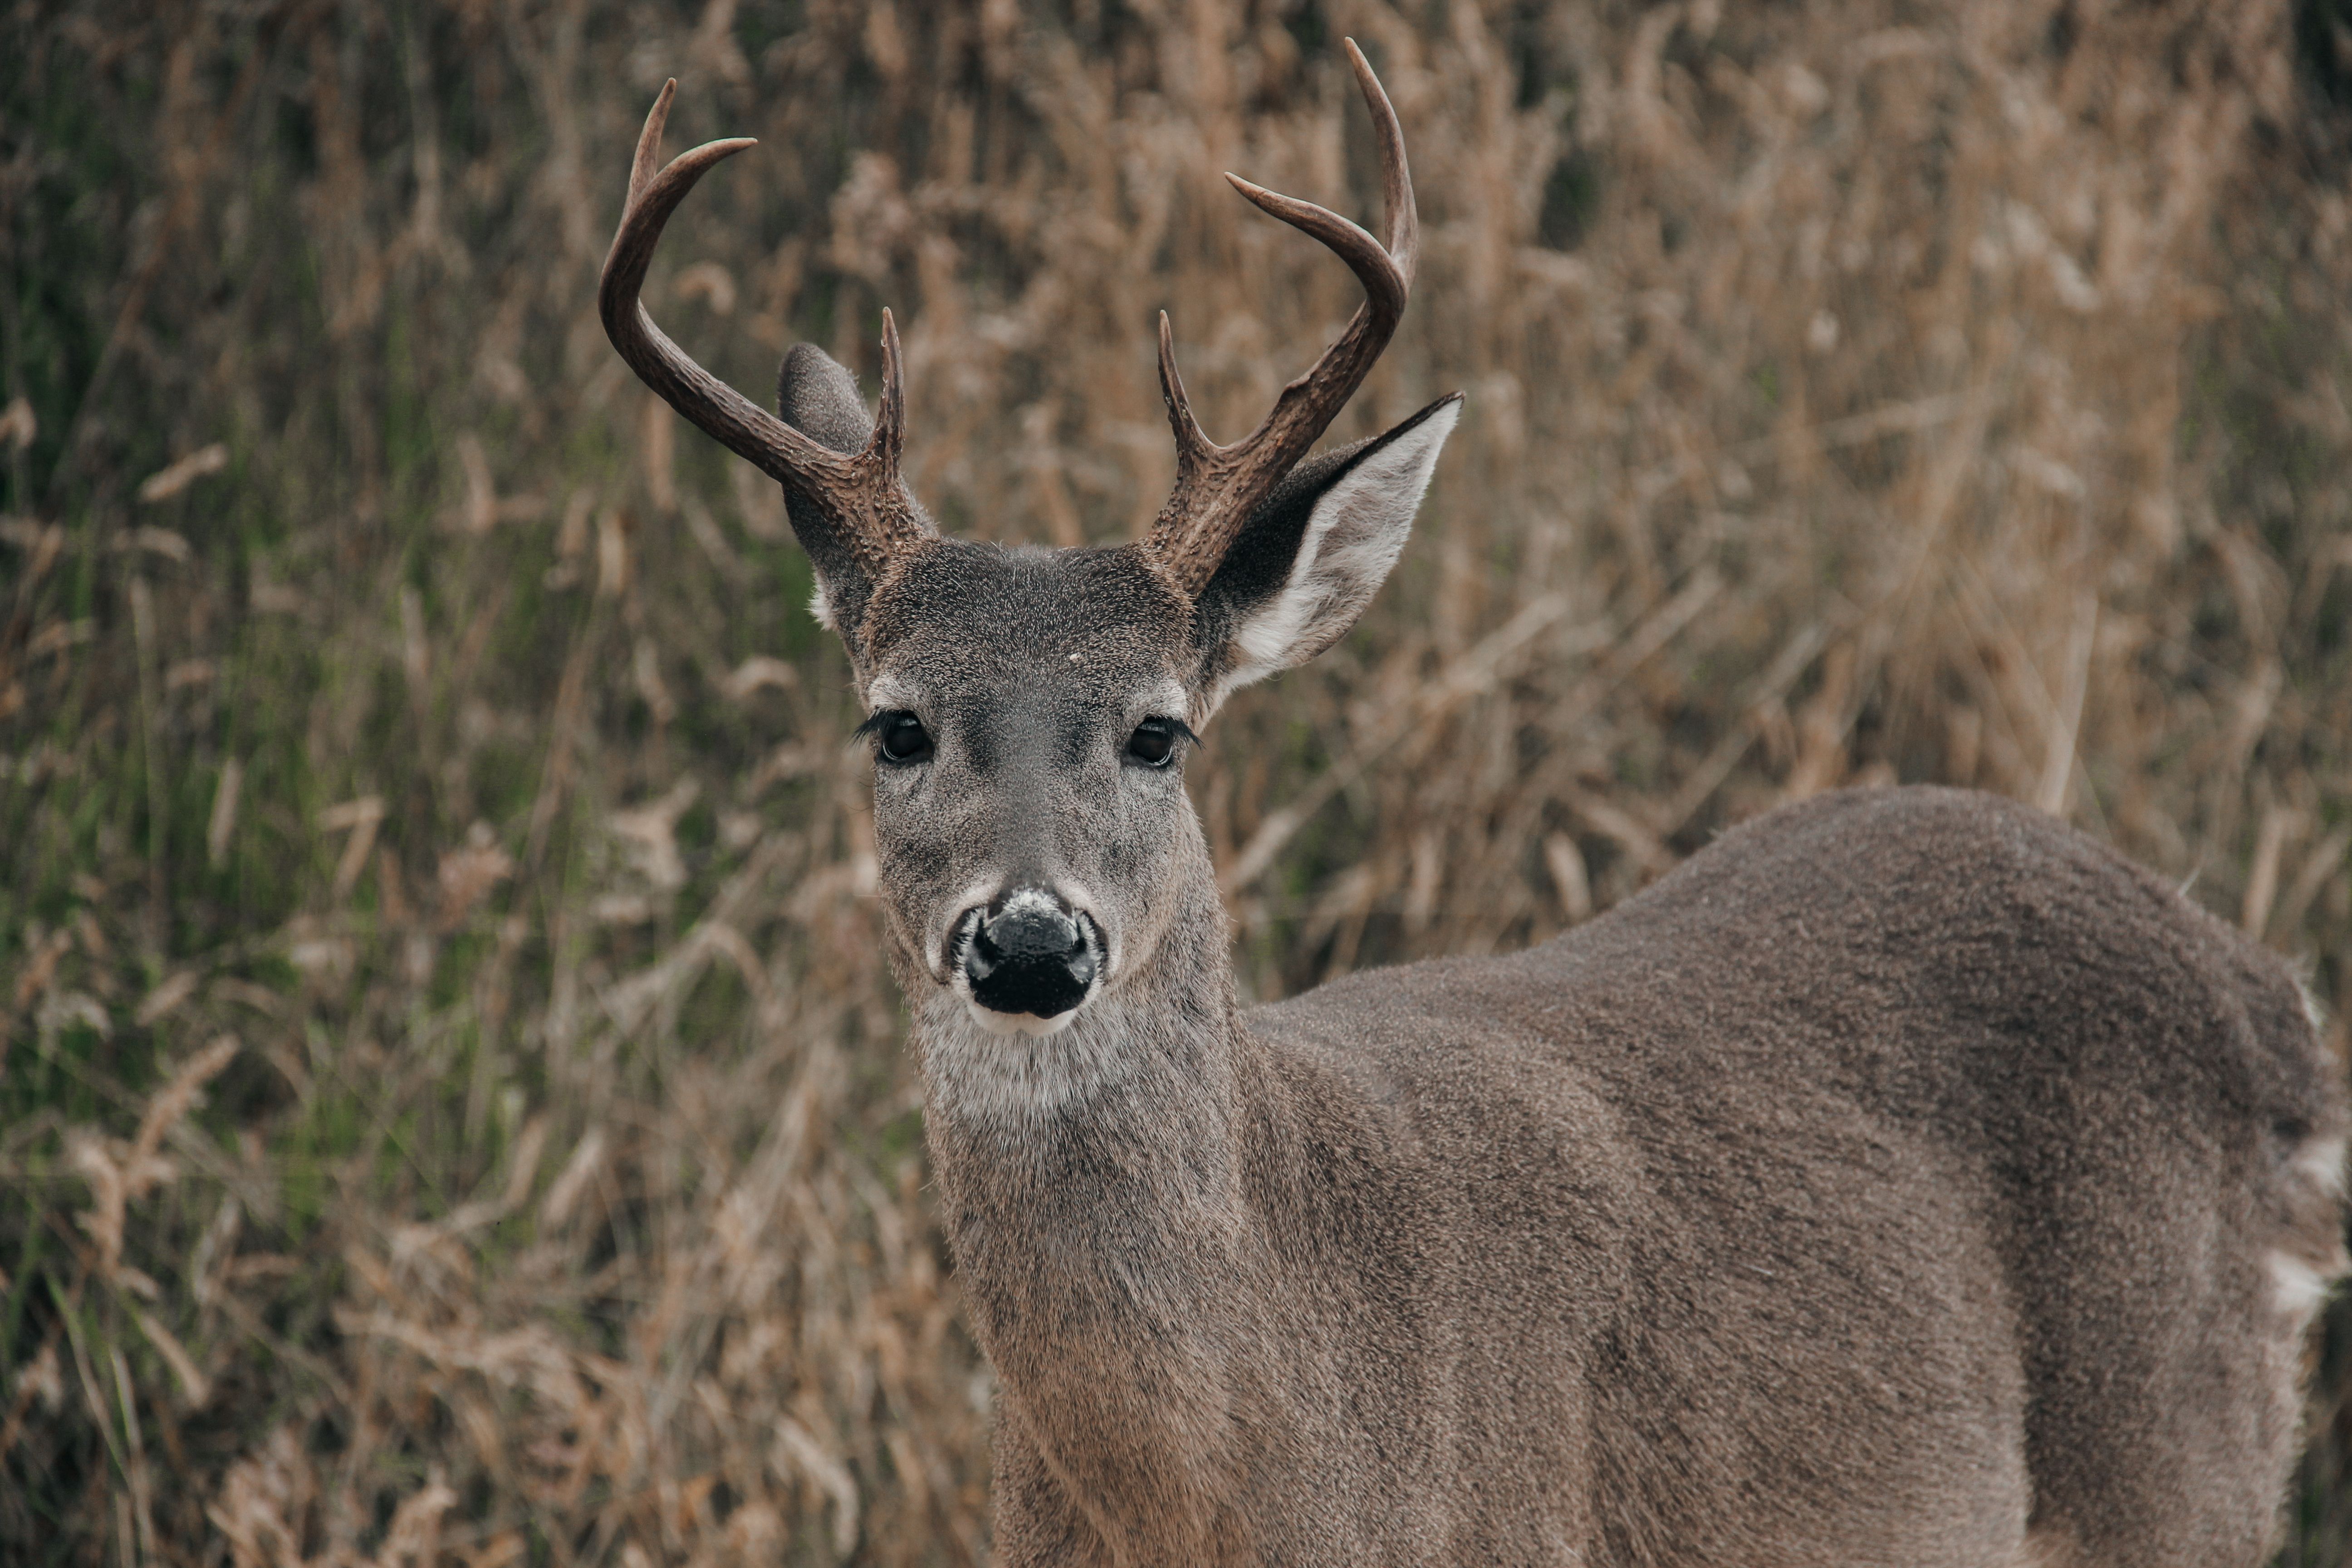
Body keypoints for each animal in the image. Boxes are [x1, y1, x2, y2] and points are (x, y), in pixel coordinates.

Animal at [600, 45, 2349, 1567]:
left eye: (1161, 734)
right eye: (895, 727)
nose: (1030, 942)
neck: (1225, 1478)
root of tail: (2269, 1001)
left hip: (2178, 1461)